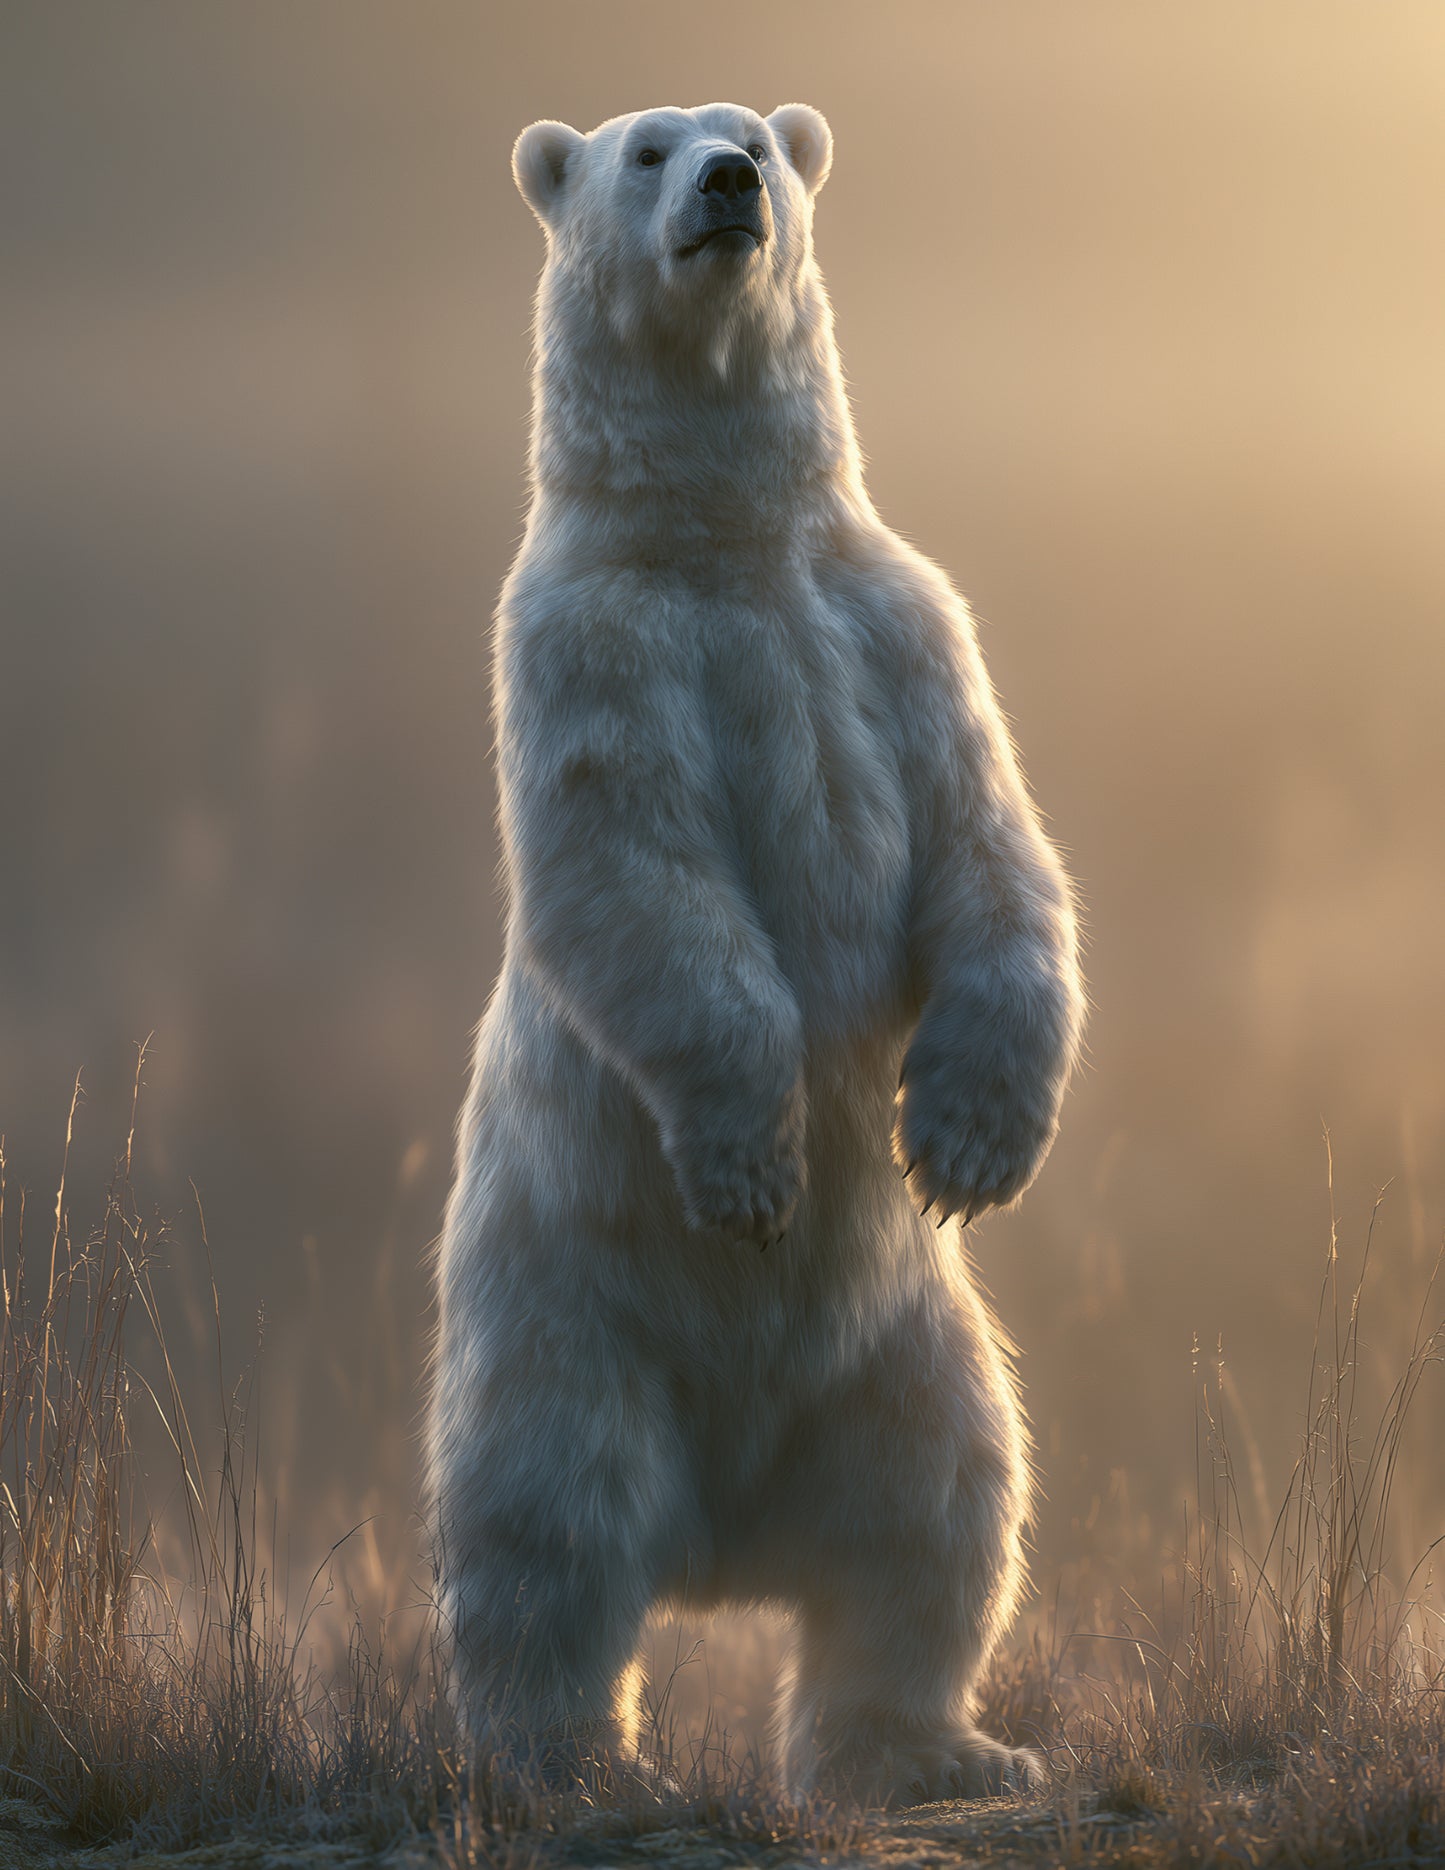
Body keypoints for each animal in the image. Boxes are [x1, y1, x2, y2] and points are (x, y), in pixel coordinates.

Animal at [425, 100, 1084, 1807]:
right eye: (647, 150)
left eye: (757, 143)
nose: (730, 185)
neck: (728, 545)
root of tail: (722, 1540)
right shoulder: (588, 646)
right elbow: (644, 878)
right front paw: (752, 1164)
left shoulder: (899, 625)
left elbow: (990, 842)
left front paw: (973, 1138)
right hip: (570, 1310)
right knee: (548, 1518)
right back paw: (570, 1759)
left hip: (906, 1340)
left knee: (944, 1500)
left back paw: (940, 1749)